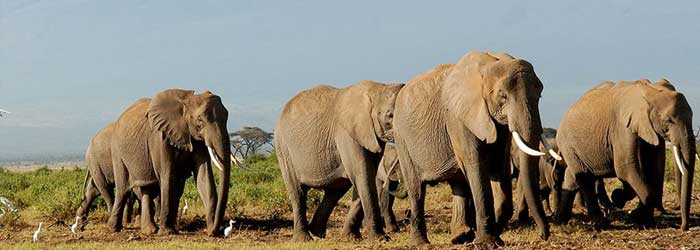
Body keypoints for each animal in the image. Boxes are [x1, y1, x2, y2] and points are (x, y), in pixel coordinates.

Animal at [106, 90, 243, 236]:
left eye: (226, 118)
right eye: (200, 121)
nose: (213, 231)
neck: (185, 103)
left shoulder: (196, 139)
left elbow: (204, 176)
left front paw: (212, 230)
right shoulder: (160, 137)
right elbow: (168, 176)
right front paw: (167, 232)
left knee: (146, 189)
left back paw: (150, 230)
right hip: (117, 150)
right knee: (123, 189)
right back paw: (114, 228)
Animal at [274, 81, 404, 241]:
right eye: (389, 115)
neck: (378, 89)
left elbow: (366, 177)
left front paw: (351, 238)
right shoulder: (347, 133)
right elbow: (363, 176)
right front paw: (381, 239)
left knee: (335, 191)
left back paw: (318, 233)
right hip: (283, 148)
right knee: (298, 192)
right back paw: (304, 239)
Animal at [392, 51, 556, 245]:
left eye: (540, 95)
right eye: (502, 96)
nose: (544, 235)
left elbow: (499, 165)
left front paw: (495, 236)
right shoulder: (458, 119)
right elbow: (475, 164)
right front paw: (487, 242)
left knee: (459, 183)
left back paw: (460, 237)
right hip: (402, 139)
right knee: (416, 189)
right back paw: (422, 243)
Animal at [552, 79, 696, 229]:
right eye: (668, 120)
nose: (683, 227)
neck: (650, 91)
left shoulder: (649, 129)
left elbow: (652, 168)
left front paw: (644, 220)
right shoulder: (622, 127)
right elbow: (626, 168)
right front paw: (630, 211)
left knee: (573, 177)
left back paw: (560, 221)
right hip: (567, 144)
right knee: (585, 178)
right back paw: (601, 223)